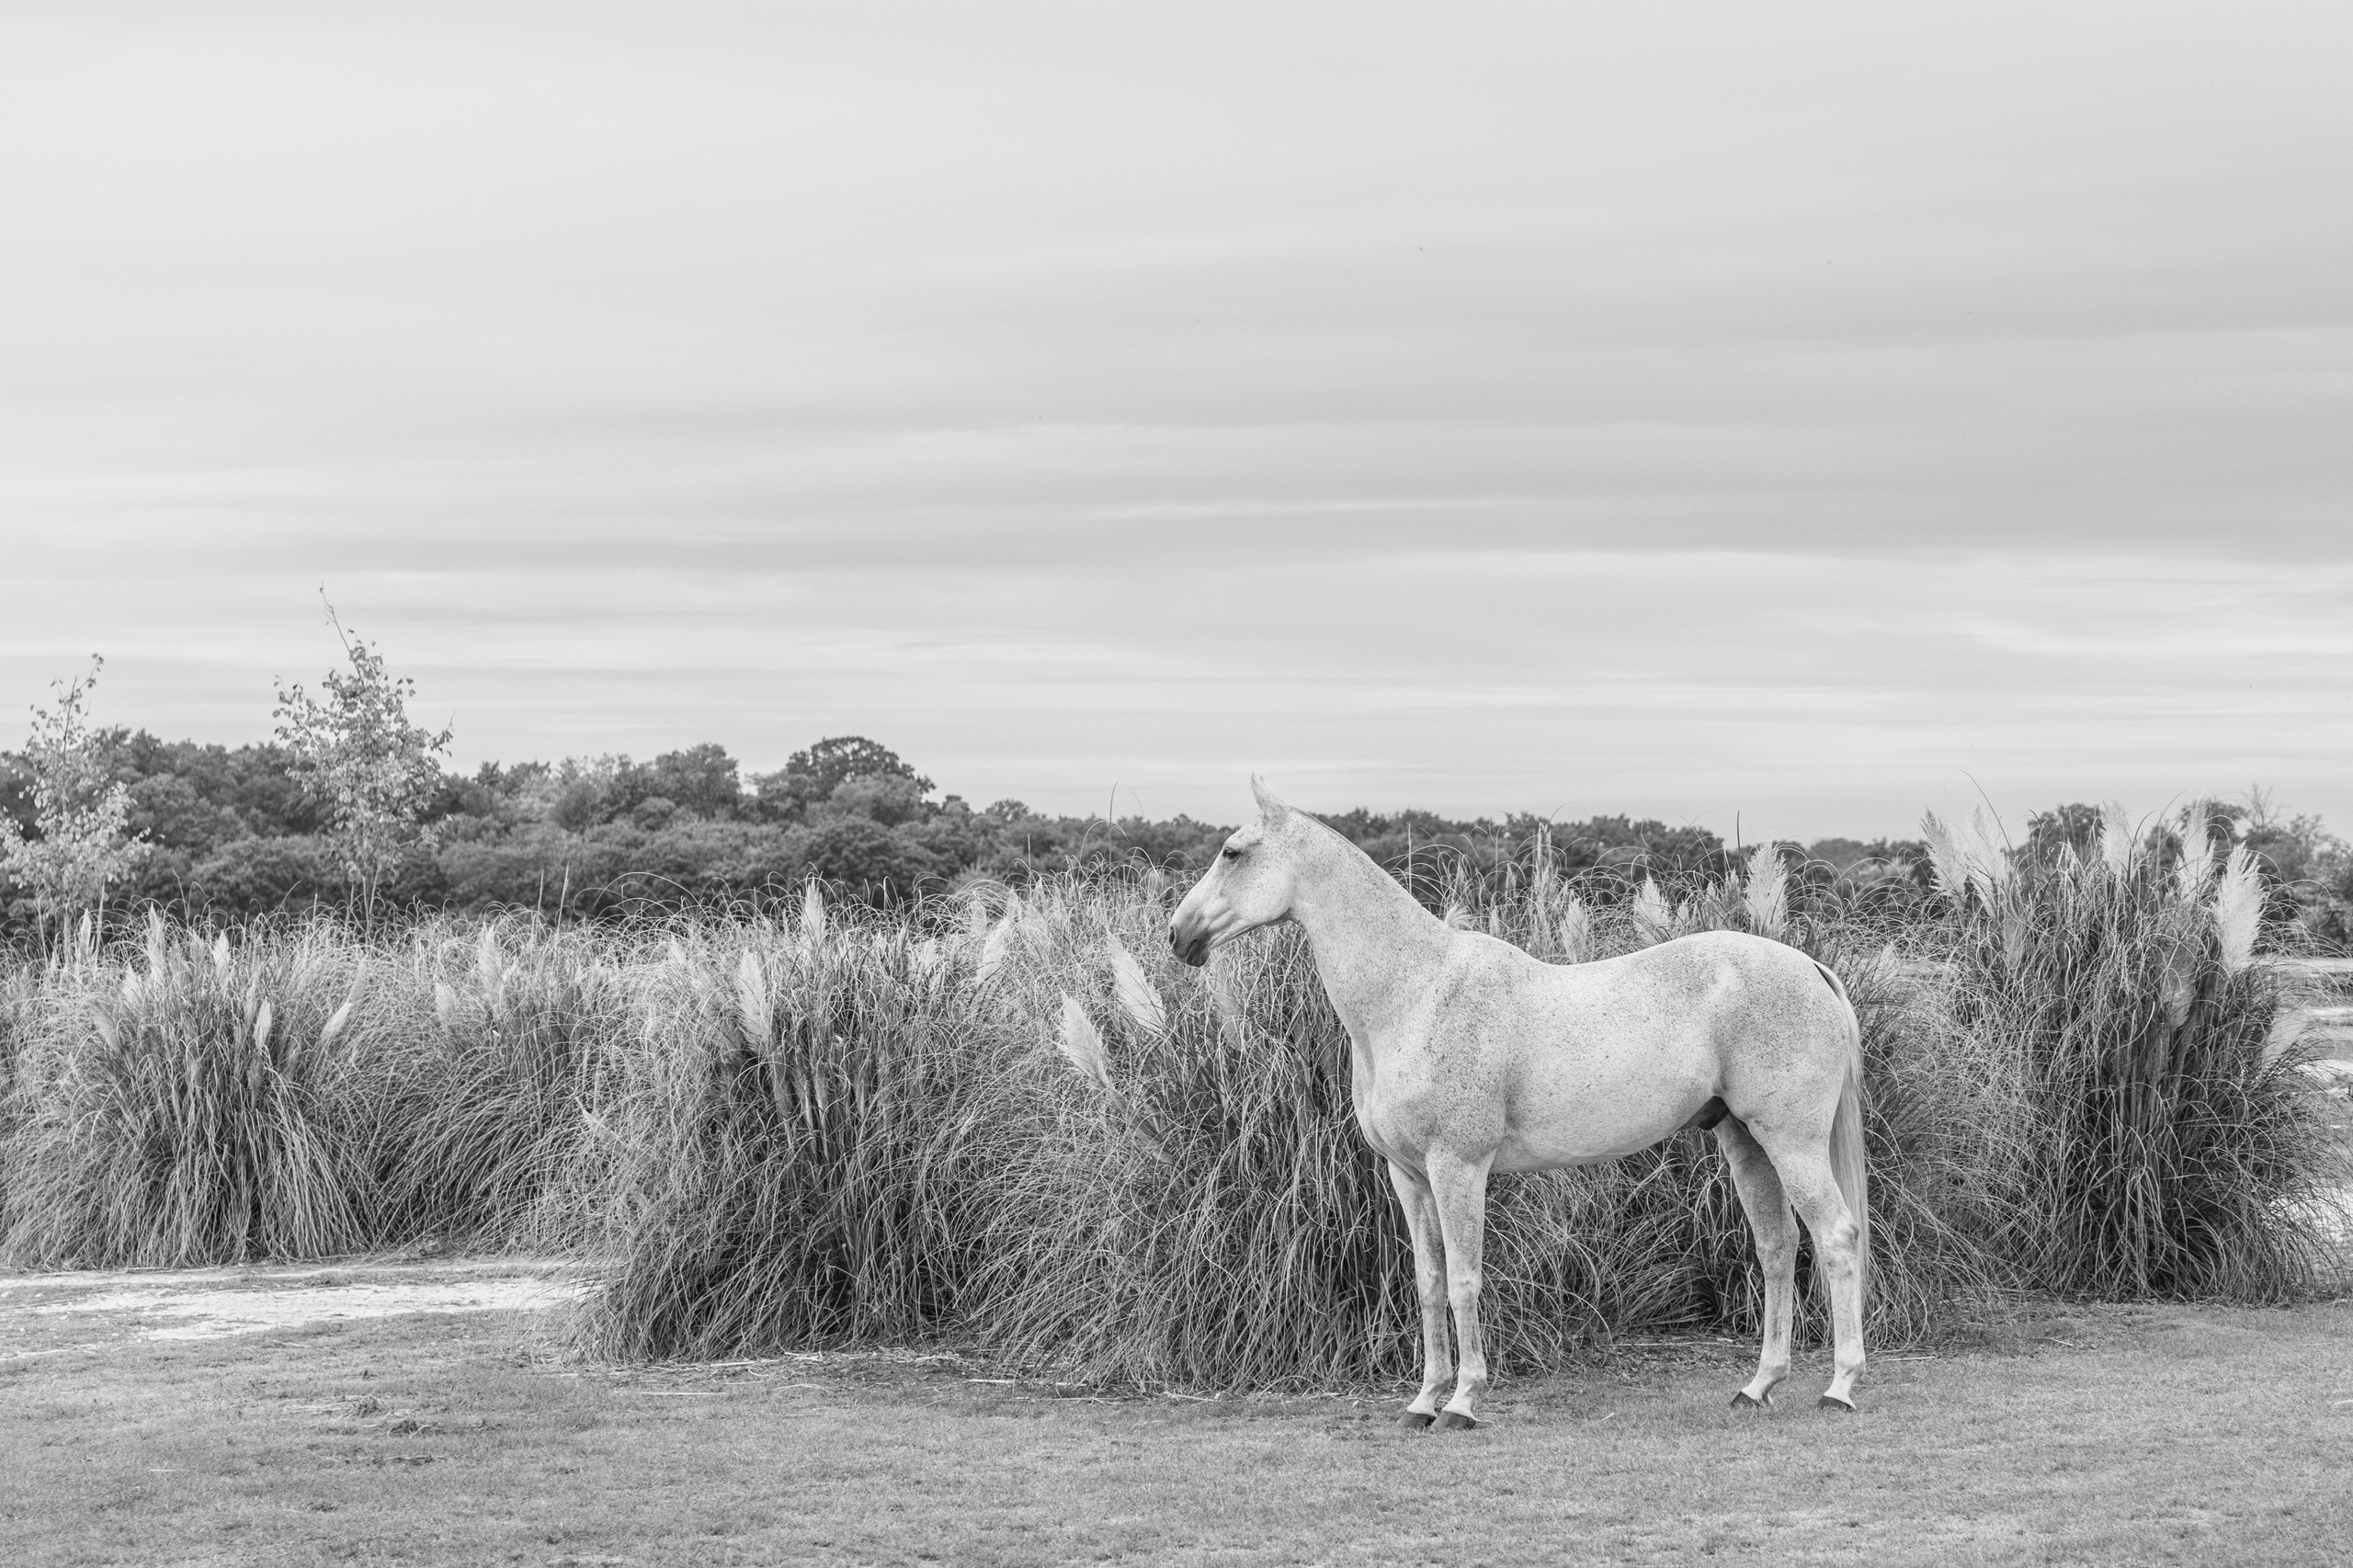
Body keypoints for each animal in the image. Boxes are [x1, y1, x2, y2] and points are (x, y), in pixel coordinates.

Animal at [1168, 777, 1869, 1429]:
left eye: (1233, 852)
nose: (1179, 935)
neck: (1415, 993)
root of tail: (1809, 968)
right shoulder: (1408, 1176)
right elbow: (1428, 1285)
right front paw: (1422, 1401)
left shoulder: (1458, 1168)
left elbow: (1464, 1281)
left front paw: (1462, 1402)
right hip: (1745, 1142)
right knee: (1777, 1247)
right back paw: (1758, 1385)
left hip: (1791, 1142)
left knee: (1835, 1236)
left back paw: (1840, 1387)